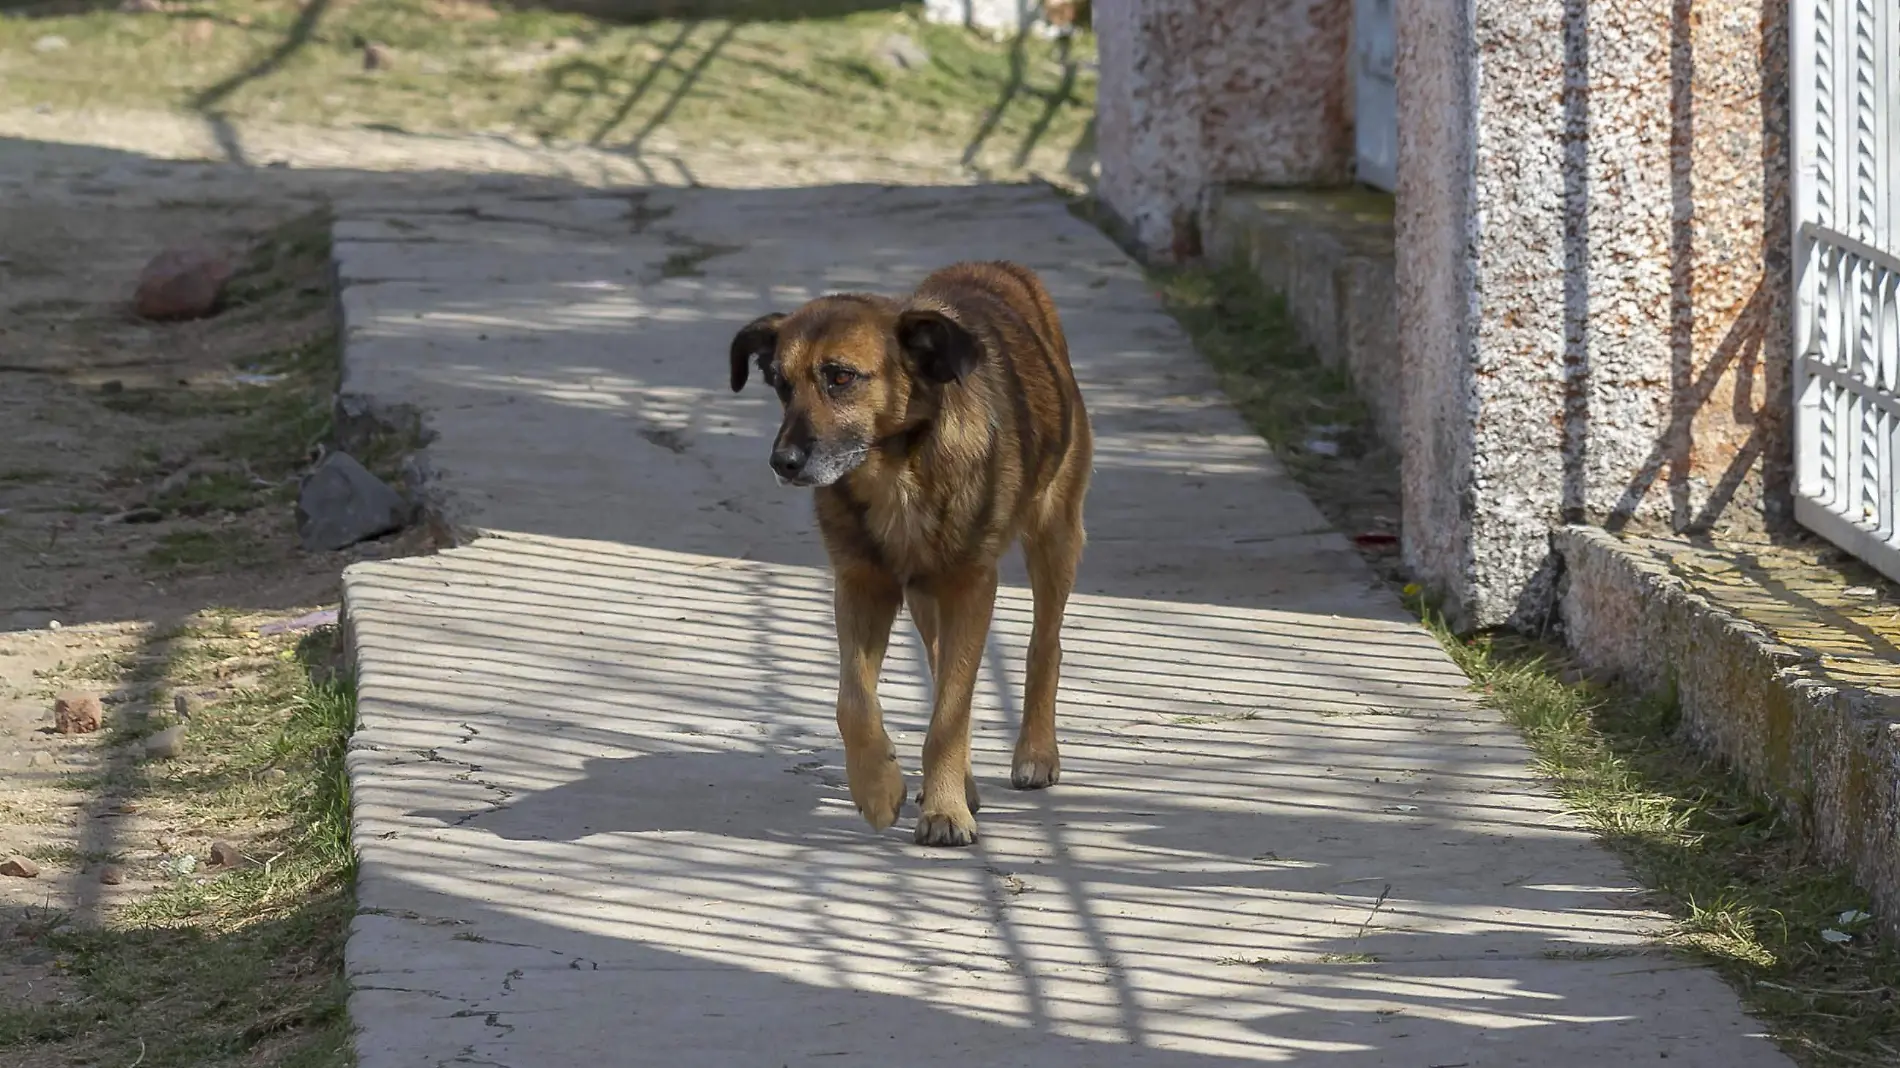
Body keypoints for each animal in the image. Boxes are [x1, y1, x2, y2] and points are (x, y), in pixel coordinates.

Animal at [725, 262, 1094, 843]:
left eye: (840, 377)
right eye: (781, 384)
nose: (783, 462)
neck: (897, 474)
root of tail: (997, 268)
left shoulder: (970, 587)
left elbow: (949, 714)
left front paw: (944, 811)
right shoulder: (862, 586)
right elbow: (853, 701)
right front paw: (880, 789)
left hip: (1054, 533)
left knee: (1044, 645)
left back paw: (1035, 752)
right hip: (925, 597)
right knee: (941, 663)